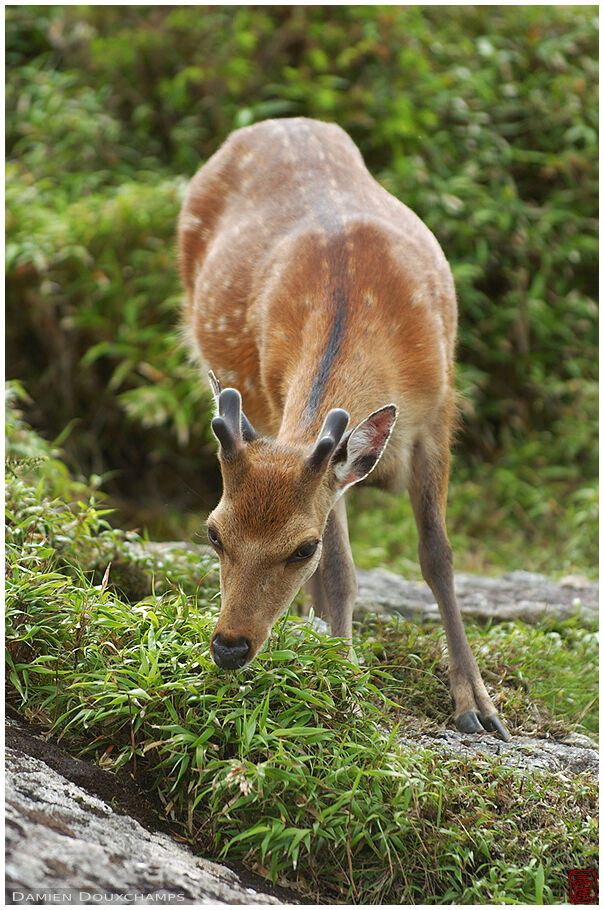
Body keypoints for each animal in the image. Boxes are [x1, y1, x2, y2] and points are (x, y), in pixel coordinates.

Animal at [178, 116, 510, 740]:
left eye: (299, 547)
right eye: (213, 532)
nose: (228, 647)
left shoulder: (439, 417)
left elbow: (437, 554)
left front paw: (477, 707)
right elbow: (340, 574)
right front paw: (345, 683)